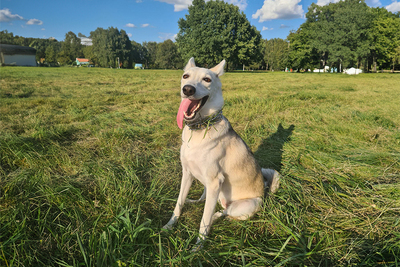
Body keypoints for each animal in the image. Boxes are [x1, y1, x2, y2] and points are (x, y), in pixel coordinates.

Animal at [162, 57, 278, 250]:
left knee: (225, 212)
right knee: (206, 201)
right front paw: (169, 225)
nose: (188, 89)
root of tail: (265, 190)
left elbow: (204, 220)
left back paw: (218, 216)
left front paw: (197, 247)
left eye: (207, 79)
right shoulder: (187, 173)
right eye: (185, 76)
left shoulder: (215, 182)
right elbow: (179, 203)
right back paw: (196, 202)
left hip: (247, 204)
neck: (200, 128)